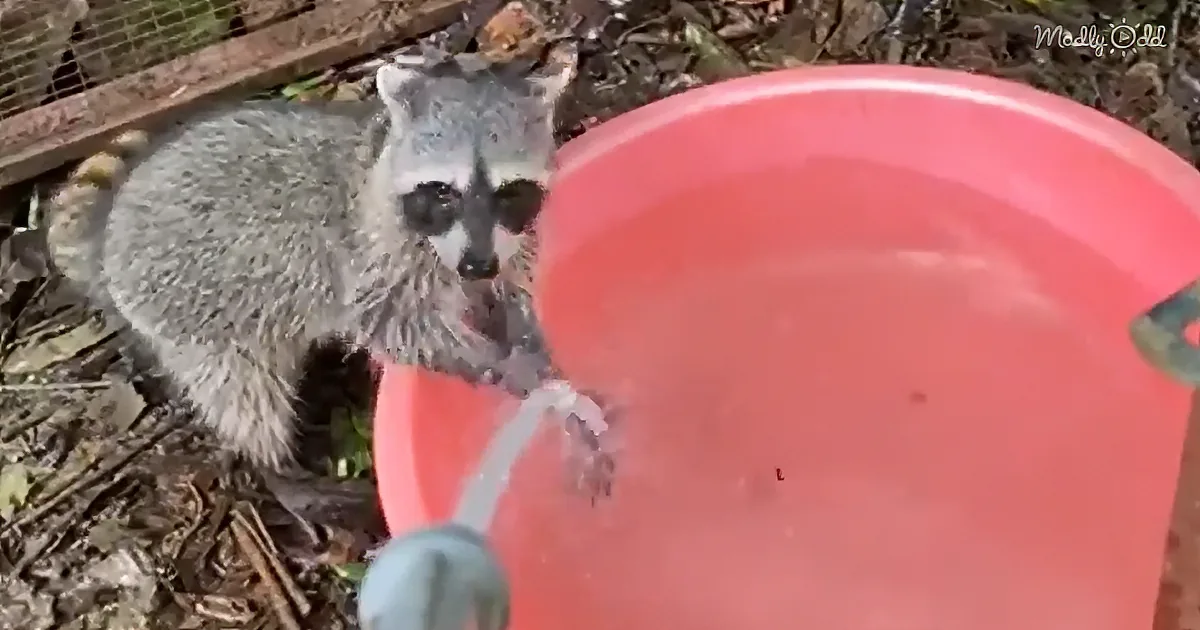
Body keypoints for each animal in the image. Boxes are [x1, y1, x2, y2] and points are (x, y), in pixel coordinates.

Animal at [43, 54, 591, 472]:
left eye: (510, 192)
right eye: (442, 191)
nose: (478, 267)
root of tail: (106, 235)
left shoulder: (506, 239)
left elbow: (516, 280)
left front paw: (527, 334)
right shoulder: (373, 255)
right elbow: (395, 325)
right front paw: (500, 364)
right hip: (190, 315)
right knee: (244, 394)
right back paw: (281, 472)